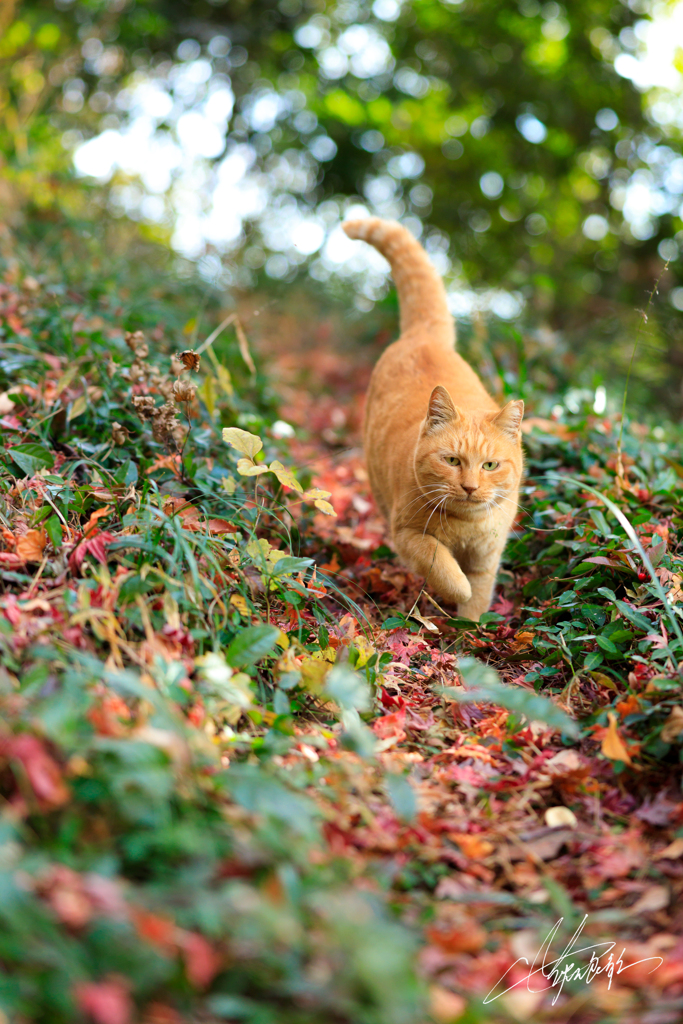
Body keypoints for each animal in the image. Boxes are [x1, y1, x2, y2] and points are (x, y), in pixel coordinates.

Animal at [344, 217, 528, 618]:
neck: (466, 527)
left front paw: (469, 627)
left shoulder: (487, 557)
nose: (470, 487)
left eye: (490, 465)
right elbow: (444, 567)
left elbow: (478, 595)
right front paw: (453, 591)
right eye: (453, 461)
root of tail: (424, 335)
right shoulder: (408, 535)